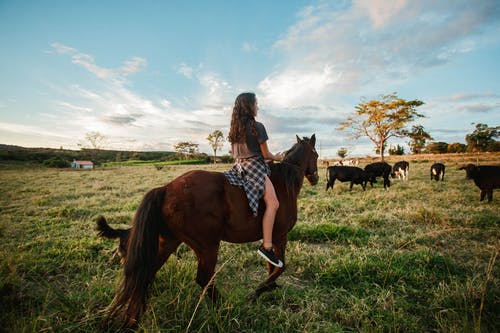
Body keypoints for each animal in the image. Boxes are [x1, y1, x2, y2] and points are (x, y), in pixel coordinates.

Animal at [103, 134, 318, 326]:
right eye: (316, 155)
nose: (315, 178)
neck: (284, 183)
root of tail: (166, 188)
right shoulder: (280, 236)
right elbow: (280, 267)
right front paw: (259, 291)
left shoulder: (271, 238)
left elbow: (271, 265)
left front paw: (269, 287)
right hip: (207, 246)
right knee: (204, 278)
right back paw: (226, 307)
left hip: (168, 241)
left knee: (145, 275)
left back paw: (133, 319)